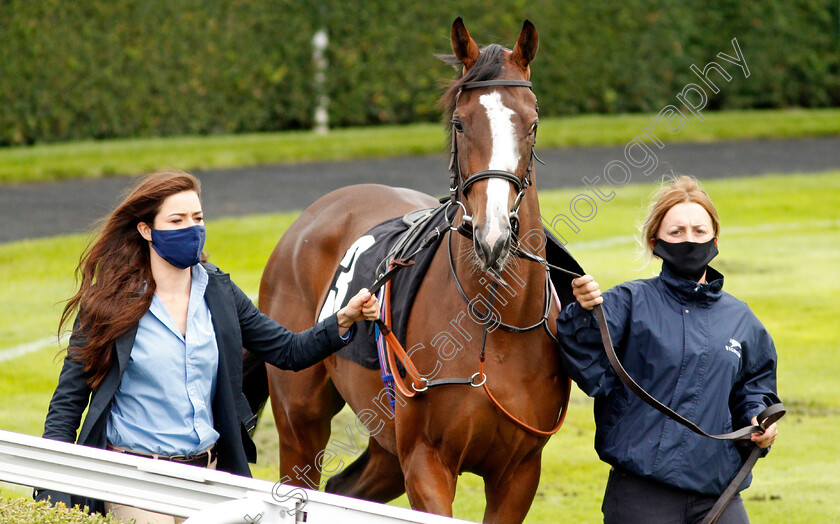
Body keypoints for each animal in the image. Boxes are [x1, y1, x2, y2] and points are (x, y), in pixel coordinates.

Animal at [246, 18, 580, 520]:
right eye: (460, 123)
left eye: (532, 123)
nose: (493, 235)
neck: (492, 329)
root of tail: (312, 216)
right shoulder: (426, 460)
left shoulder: (520, 472)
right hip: (301, 418)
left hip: (385, 437)